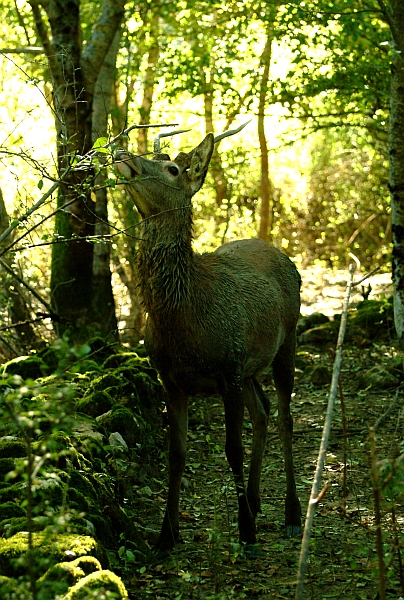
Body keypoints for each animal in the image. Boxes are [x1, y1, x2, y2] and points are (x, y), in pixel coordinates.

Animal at [115, 124, 302, 556]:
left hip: (286, 340)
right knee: (263, 411)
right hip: (250, 366)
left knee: (284, 417)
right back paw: (254, 500)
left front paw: (246, 534)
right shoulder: (171, 379)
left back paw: (291, 514)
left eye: (172, 169)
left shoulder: (227, 369)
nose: (122, 154)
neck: (184, 320)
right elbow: (176, 453)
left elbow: (232, 448)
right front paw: (166, 535)